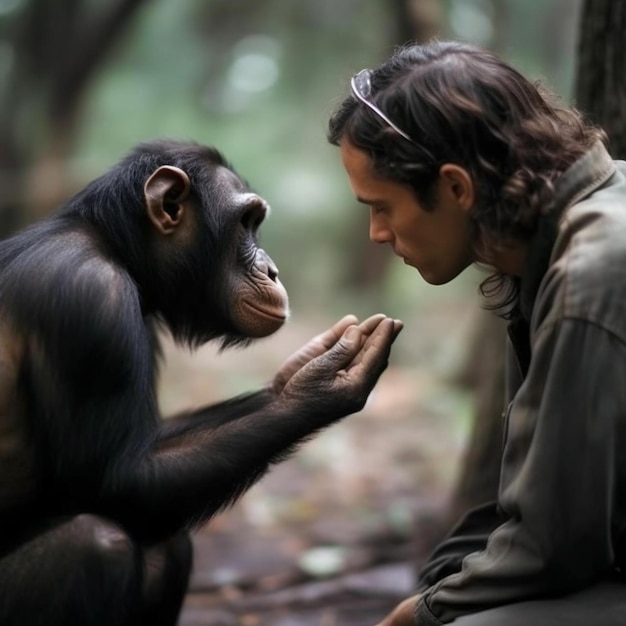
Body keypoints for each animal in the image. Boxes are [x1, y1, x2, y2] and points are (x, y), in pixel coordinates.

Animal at [0, 140, 400, 624]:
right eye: (245, 223)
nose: (272, 270)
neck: (114, 246)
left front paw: (291, 379)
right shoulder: (91, 301)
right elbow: (115, 476)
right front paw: (315, 389)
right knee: (96, 542)